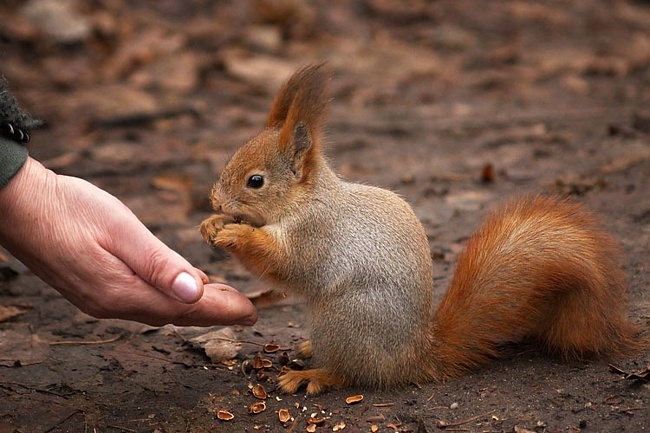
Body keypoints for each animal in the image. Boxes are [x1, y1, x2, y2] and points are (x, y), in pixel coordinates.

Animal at [200, 64, 644, 394]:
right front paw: (213, 223)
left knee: (353, 373)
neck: (305, 200)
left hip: (345, 317)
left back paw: (314, 374)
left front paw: (237, 234)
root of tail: (414, 357)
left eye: (255, 181)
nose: (216, 201)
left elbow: (287, 264)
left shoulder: (317, 233)